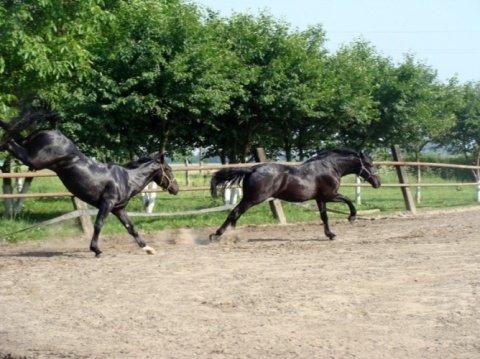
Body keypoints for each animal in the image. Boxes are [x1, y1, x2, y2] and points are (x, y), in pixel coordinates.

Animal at [208, 149, 380, 242]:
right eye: (369, 164)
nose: (378, 183)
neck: (331, 168)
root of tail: (253, 169)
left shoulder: (320, 199)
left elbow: (324, 217)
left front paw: (330, 235)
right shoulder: (330, 195)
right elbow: (348, 200)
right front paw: (352, 217)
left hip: (249, 199)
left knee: (236, 214)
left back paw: (233, 236)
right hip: (253, 199)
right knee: (235, 213)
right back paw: (218, 235)